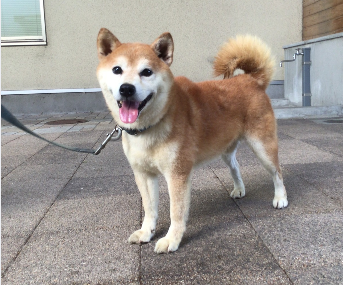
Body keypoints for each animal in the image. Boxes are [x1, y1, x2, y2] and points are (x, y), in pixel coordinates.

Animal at [96, 27, 288, 252]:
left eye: (147, 72)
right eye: (117, 69)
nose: (126, 88)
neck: (150, 126)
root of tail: (252, 79)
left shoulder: (177, 174)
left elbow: (176, 212)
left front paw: (171, 239)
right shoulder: (143, 174)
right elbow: (150, 209)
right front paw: (146, 232)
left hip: (262, 146)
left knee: (277, 172)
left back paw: (280, 198)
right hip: (226, 150)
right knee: (235, 167)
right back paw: (239, 189)